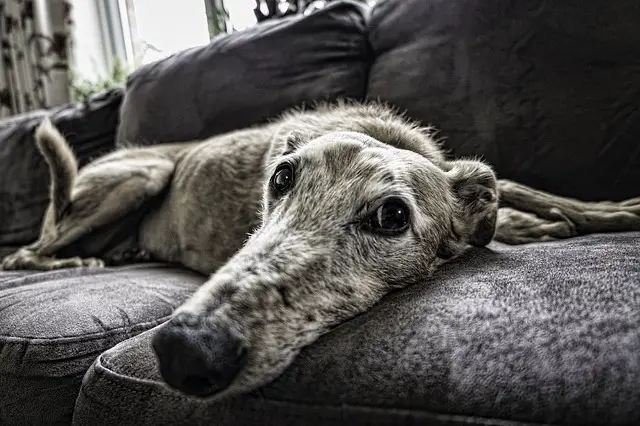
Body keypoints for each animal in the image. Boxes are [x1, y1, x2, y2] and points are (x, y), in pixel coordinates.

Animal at [1, 101, 640, 402]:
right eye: (280, 177)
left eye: (392, 216)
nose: (185, 351)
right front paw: (535, 224)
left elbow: (522, 188)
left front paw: (607, 212)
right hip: (140, 175)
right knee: (26, 253)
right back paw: (74, 260)